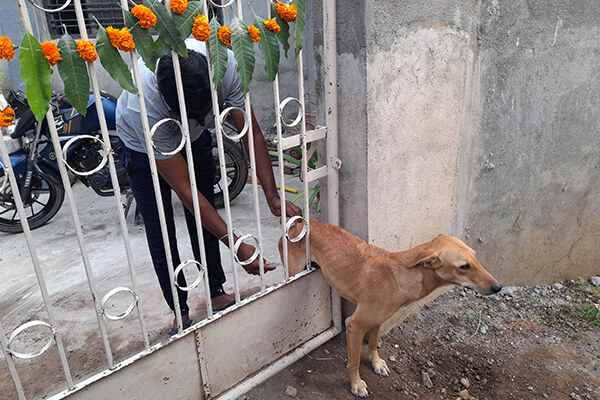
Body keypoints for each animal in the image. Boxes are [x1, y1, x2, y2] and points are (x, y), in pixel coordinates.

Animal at [282, 219, 502, 396]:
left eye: (476, 257)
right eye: (464, 266)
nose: (498, 287)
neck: (401, 275)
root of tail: (300, 223)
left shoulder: (379, 319)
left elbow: (373, 343)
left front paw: (377, 363)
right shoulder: (355, 325)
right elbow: (354, 361)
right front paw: (356, 385)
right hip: (294, 275)